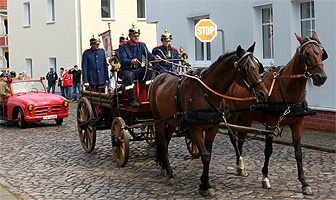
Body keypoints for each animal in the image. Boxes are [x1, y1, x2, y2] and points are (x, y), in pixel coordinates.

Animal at [148, 42, 270, 195]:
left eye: (259, 67)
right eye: (245, 69)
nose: (264, 94)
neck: (206, 92)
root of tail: (159, 77)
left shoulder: (212, 128)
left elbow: (209, 155)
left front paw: (205, 184)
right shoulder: (194, 128)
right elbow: (205, 155)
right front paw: (204, 185)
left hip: (171, 122)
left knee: (166, 140)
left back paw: (164, 168)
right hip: (159, 120)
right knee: (164, 143)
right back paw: (170, 174)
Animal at [226, 33, 328, 195]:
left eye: (322, 53)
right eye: (306, 53)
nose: (321, 77)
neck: (287, 88)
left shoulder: (298, 124)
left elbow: (298, 153)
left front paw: (304, 183)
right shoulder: (271, 124)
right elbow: (268, 151)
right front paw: (265, 178)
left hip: (247, 118)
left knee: (241, 139)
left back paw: (240, 166)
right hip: (234, 116)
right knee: (233, 137)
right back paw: (239, 163)